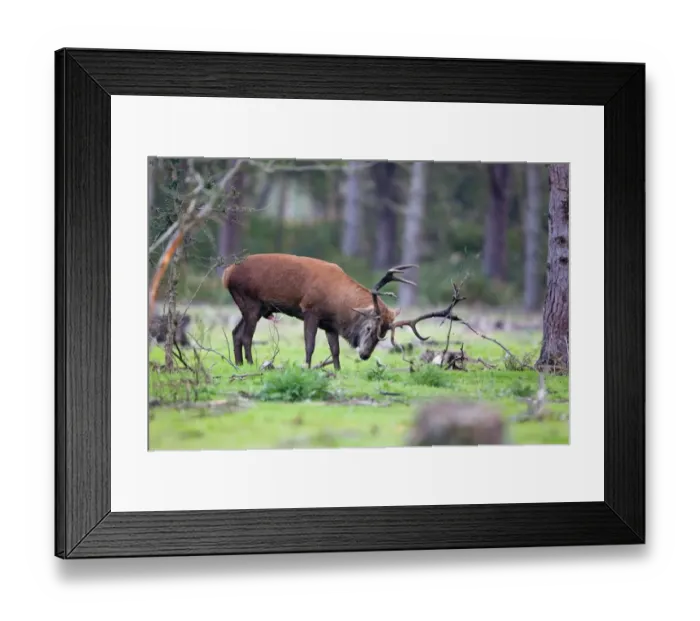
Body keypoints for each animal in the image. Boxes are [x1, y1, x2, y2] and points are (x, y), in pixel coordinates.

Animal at [221, 253, 460, 371]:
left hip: (255, 306)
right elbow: (310, 345)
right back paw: (250, 363)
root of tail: (226, 274)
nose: (364, 355)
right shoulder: (310, 310)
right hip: (251, 302)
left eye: (383, 335)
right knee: (246, 336)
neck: (336, 304)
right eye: (369, 327)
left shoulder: (330, 324)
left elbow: (335, 349)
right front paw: (308, 367)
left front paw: (337, 371)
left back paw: (239, 364)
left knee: (235, 332)